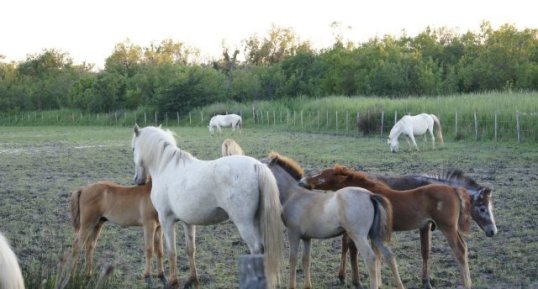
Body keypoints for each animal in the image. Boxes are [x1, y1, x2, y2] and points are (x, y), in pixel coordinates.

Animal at [131, 124, 280, 288]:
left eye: (133, 148)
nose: (137, 180)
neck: (166, 167)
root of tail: (256, 165)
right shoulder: (188, 222)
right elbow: (190, 250)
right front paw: (192, 279)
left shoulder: (166, 220)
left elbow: (172, 252)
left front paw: (172, 281)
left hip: (245, 224)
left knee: (257, 250)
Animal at [298, 164, 474, 288]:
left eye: (322, 176)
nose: (302, 181)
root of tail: (454, 190)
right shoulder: (375, 234)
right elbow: (379, 256)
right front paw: (380, 283)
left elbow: (372, 256)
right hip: (451, 228)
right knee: (464, 247)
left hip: (448, 228)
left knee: (460, 250)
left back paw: (467, 284)